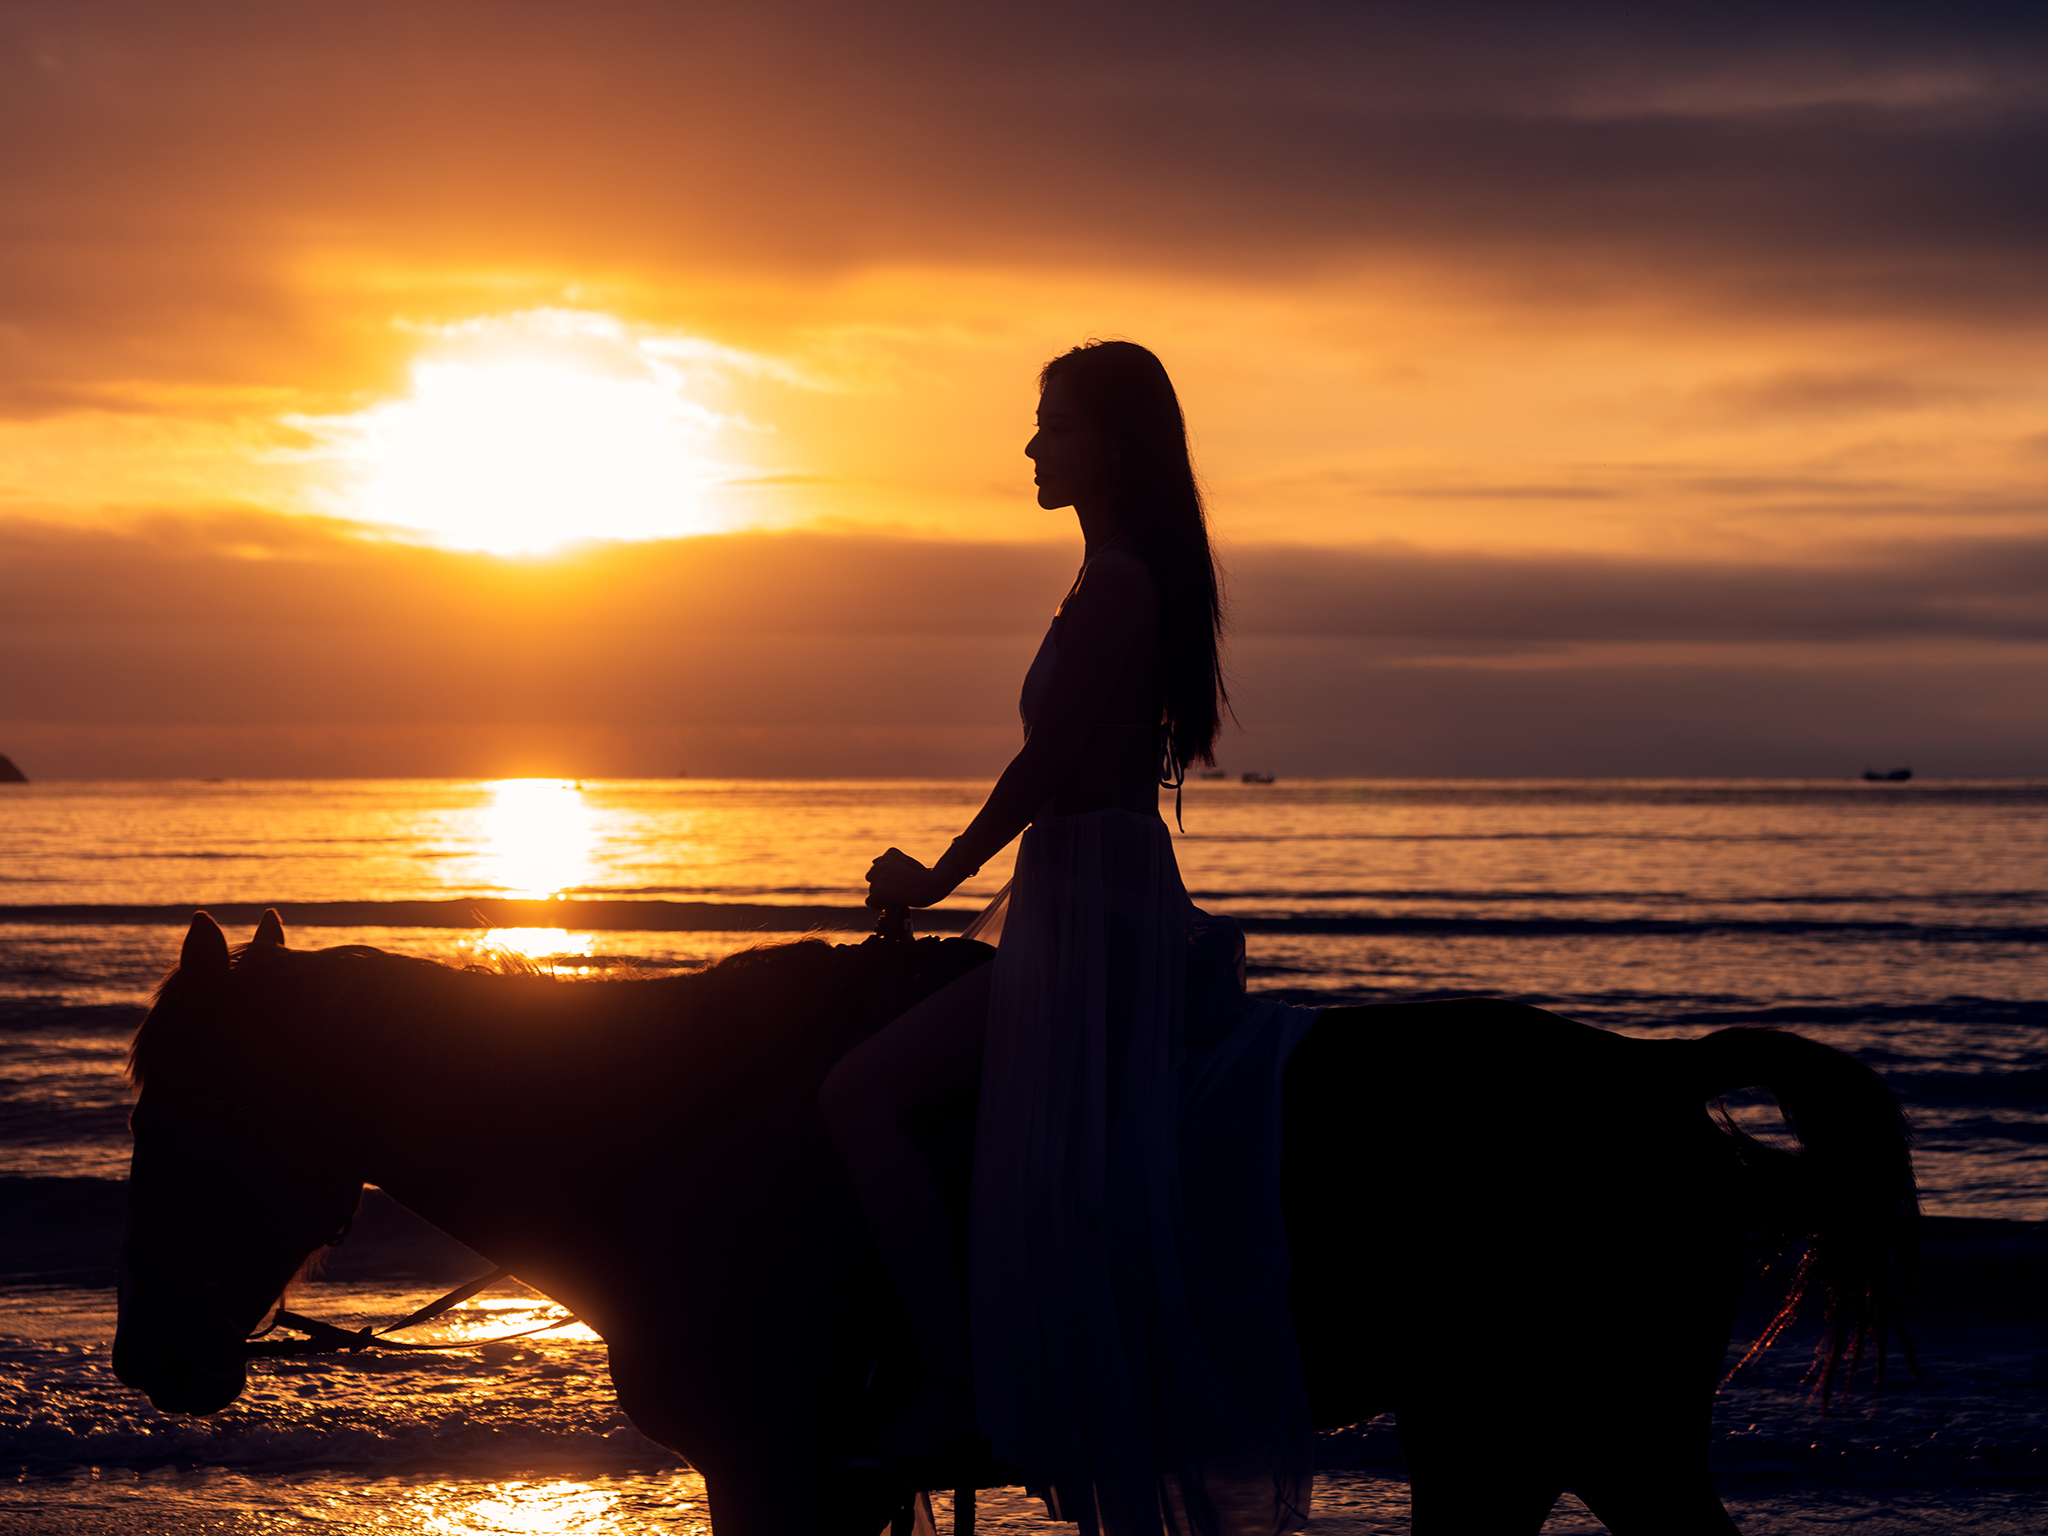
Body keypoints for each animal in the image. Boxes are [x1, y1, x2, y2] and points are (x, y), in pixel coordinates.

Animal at [112, 921, 1908, 1531]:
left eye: (182, 1104)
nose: (149, 1358)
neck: (672, 1124)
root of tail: (1657, 1083)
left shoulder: (779, 1471)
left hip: (1580, 1430)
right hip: (1514, 1439)